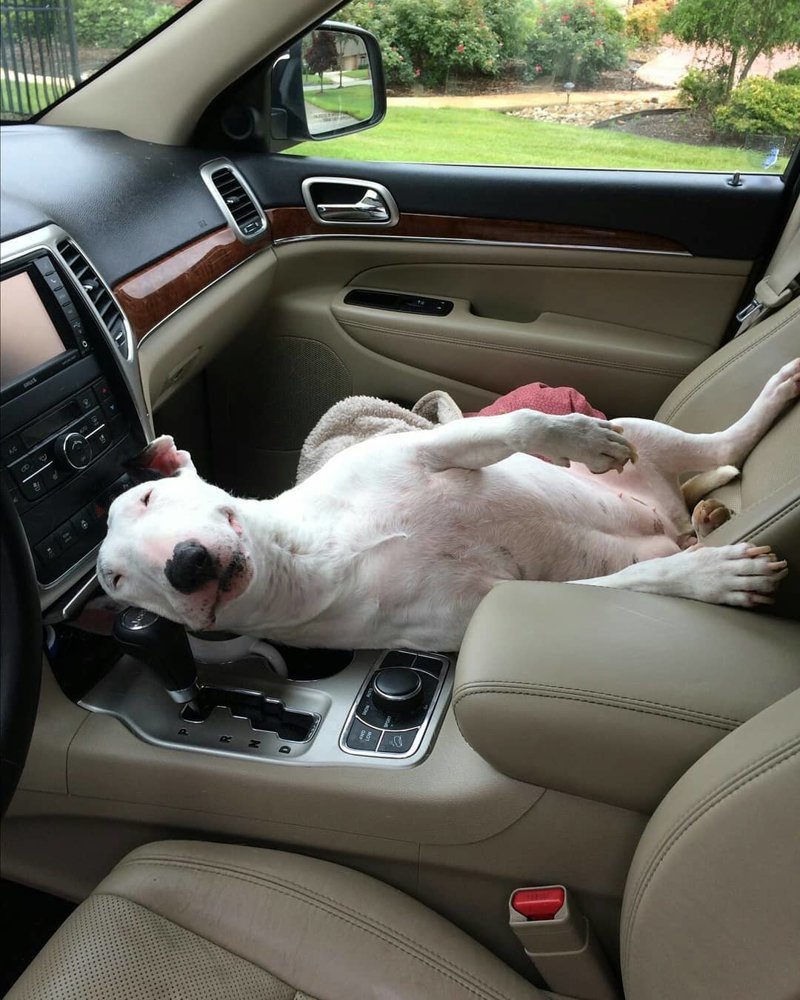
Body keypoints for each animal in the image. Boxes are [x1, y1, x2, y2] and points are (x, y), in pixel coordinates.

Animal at [97, 360, 796, 648]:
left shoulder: (425, 450)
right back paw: (706, 527)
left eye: (148, 495)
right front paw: (718, 576)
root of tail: (669, 511)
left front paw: (580, 439)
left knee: (725, 441)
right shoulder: (491, 606)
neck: (318, 552)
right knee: (696, 502)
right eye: (115, 582)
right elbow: (646, 578)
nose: (184, 565)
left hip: (648, 434)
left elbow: (521, 427)